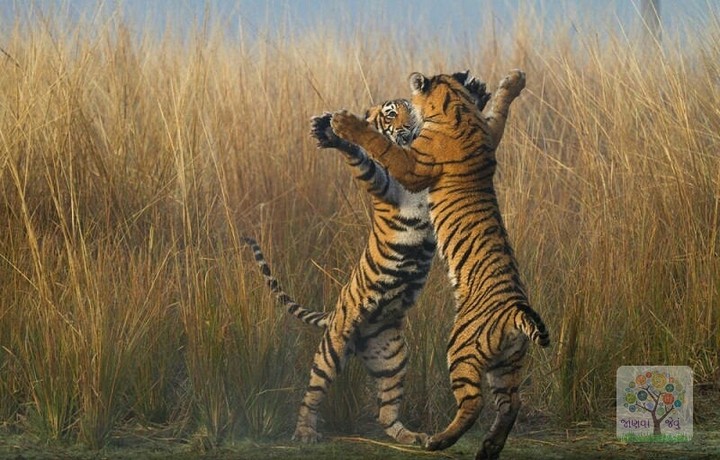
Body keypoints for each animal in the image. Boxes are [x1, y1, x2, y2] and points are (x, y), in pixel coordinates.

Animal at [242, 75, 491, 445]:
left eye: (411, 111)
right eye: (390, 114)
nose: (408, 128)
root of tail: (337, 316)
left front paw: (476, 93)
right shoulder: (385, 185)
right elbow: (362, 157)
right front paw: (330, 132)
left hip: (393, 354)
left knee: (386, 410)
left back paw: (409, 436)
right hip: (333, 346)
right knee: (312, 392)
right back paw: (305, 431)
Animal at [328, 70, 550, 460]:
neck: (456, 107)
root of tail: (515, 312)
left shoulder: (415, 164)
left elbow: (381, 146)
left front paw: (346, 123)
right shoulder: (490, 132)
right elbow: (500, 111)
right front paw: (514, 81)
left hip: (461, 348)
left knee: (474, 403)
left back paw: (438, 440)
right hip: (508, 363)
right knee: (511, 404)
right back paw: (488, 448)